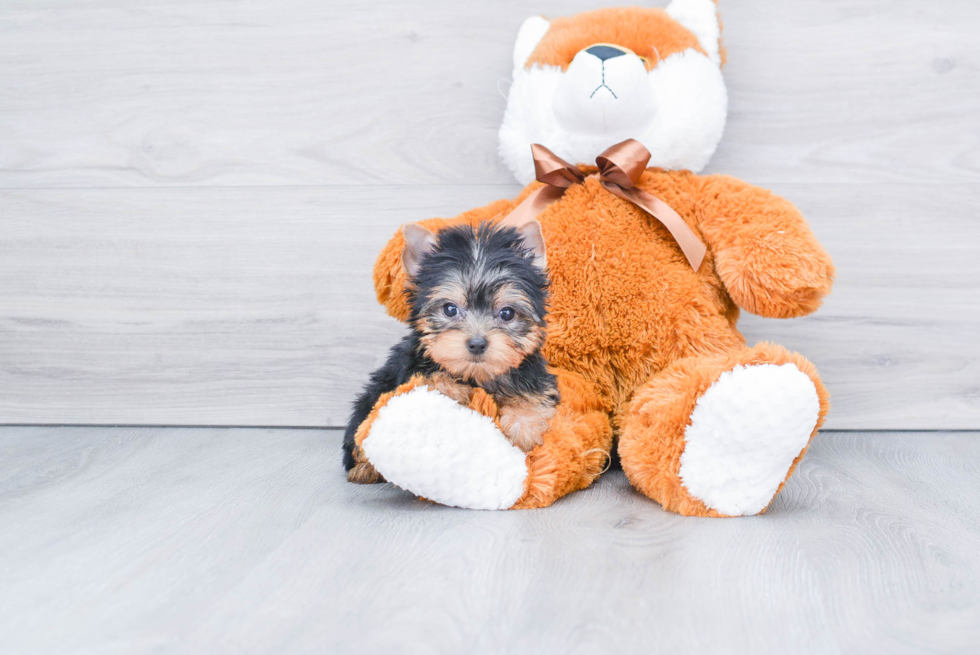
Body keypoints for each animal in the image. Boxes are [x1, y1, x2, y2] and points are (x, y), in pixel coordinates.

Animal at [344, 220, 560, 482]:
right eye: (450, 309)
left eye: (507, 313)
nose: (477, 343)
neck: (477, 376)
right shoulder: (407, 370)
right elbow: (427, 378)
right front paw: (452, 388)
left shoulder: (536, 376)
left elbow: (535, 394)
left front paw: (523, 426)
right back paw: (364, 468)